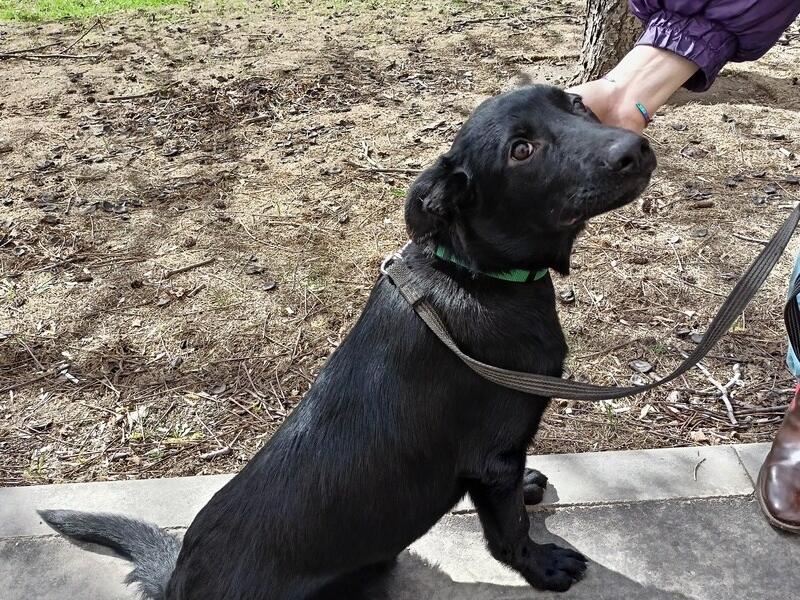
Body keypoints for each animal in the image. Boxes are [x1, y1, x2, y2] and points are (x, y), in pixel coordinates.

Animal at [40, 85, 656, 600]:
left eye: (576, 103)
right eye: (521, 151)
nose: (635, 148)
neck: (474, 275)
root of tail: (177, 585)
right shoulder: (491, 460)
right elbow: (509, 532)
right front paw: (544, 566)